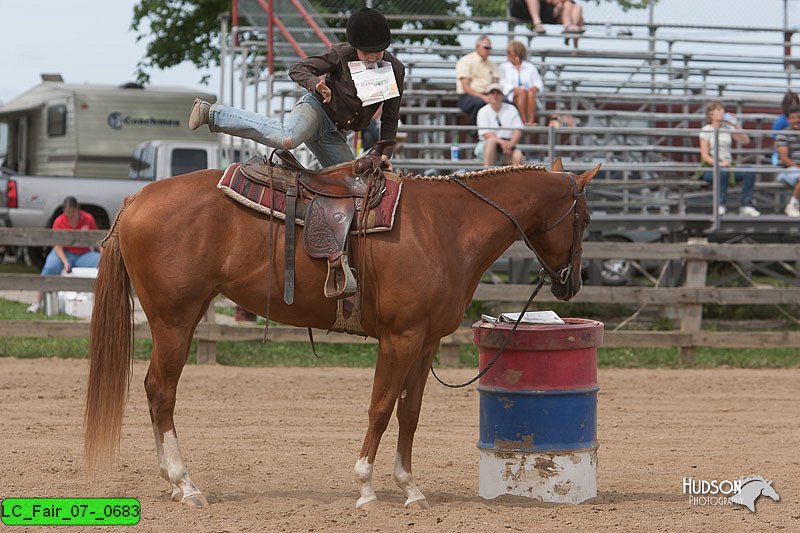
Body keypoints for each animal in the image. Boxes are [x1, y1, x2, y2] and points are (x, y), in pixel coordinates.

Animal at [84, 153, 596, 508]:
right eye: (586, 218)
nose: (572, 284)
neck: (446, 227)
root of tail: (135, 199)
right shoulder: (400, 338)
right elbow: (381, 408)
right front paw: (366, 487)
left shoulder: (426, 341)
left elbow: (410, 413)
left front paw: (411, 489)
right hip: (174, 320)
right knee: (160, 392)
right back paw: (185, 483)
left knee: (156, 392)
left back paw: (174, 484)